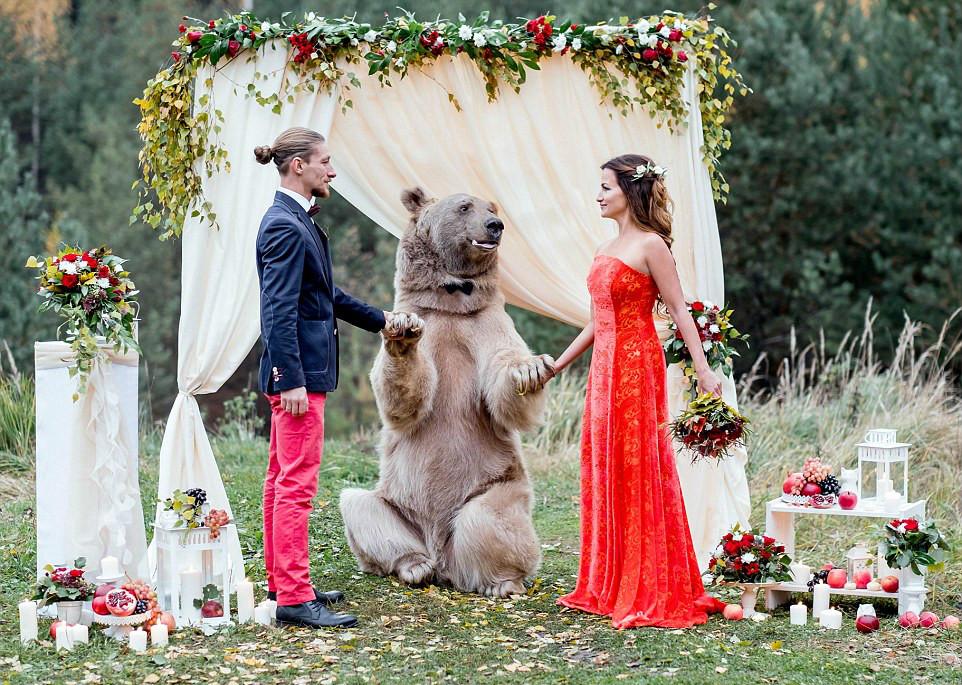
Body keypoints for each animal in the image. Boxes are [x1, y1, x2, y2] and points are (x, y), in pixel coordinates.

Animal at [338, 188, 552, 600]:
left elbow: (503, 386)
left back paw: (503, 581)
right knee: (361, 508)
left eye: (492, 207)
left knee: (491, 519)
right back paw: (414, 567)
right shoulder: (427, 320)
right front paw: (402, 339)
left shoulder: (488, 324)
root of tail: (445, 562)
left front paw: (529, 370)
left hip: (495, 482)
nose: (495, 225)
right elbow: (402, 400)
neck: (452, 299)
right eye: (464, 206)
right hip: (395, 502)